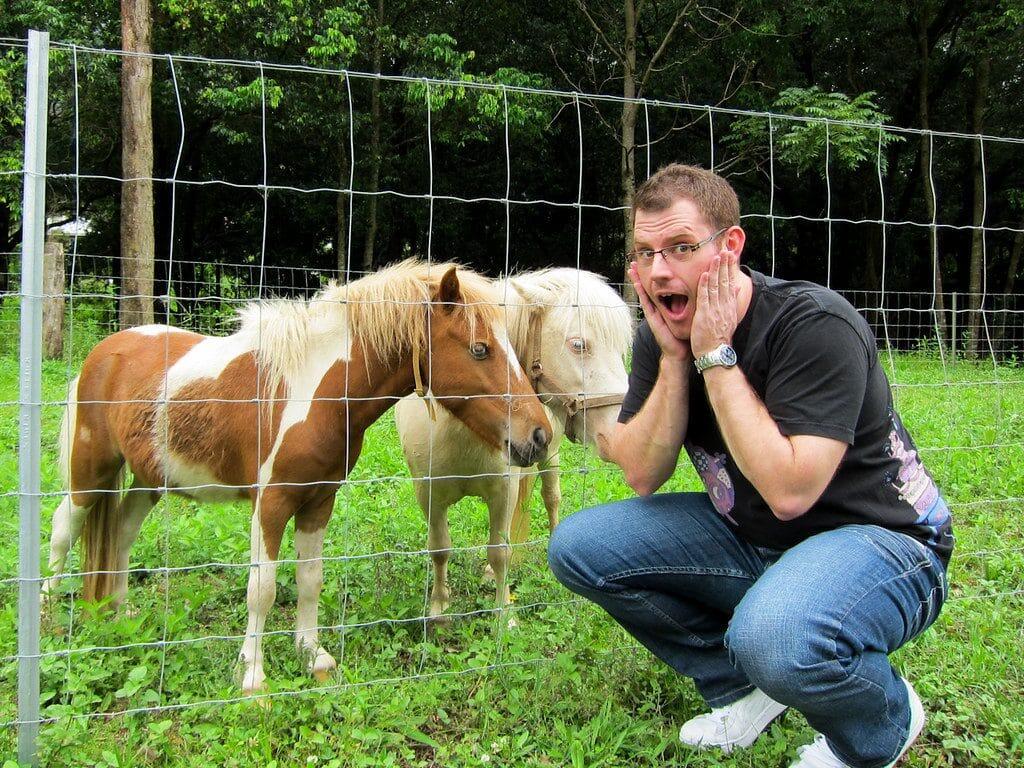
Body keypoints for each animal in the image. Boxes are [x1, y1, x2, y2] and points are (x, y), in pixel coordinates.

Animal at [43, 260, 552, 693]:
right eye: (480, 349)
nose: (539, 435)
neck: (316, 393)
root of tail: (107, 350)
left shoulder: (318, 501)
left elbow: (310, 578)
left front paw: (313, 655)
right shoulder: (270, 504)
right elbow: (263, 590)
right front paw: (252, 677)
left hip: (151, 479)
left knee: (122, 531)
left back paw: (120, 613)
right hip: (91, 471)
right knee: (63, 529)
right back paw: (49, 618)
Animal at [395, 268, 633, 624]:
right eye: (578, 345)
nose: (622, 429)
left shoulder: (504, 490)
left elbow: (500, 551)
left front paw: (503, 614)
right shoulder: (428, 493)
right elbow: (439, 547)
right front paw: (439, 608)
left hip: (550, 456)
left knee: (551, 498)